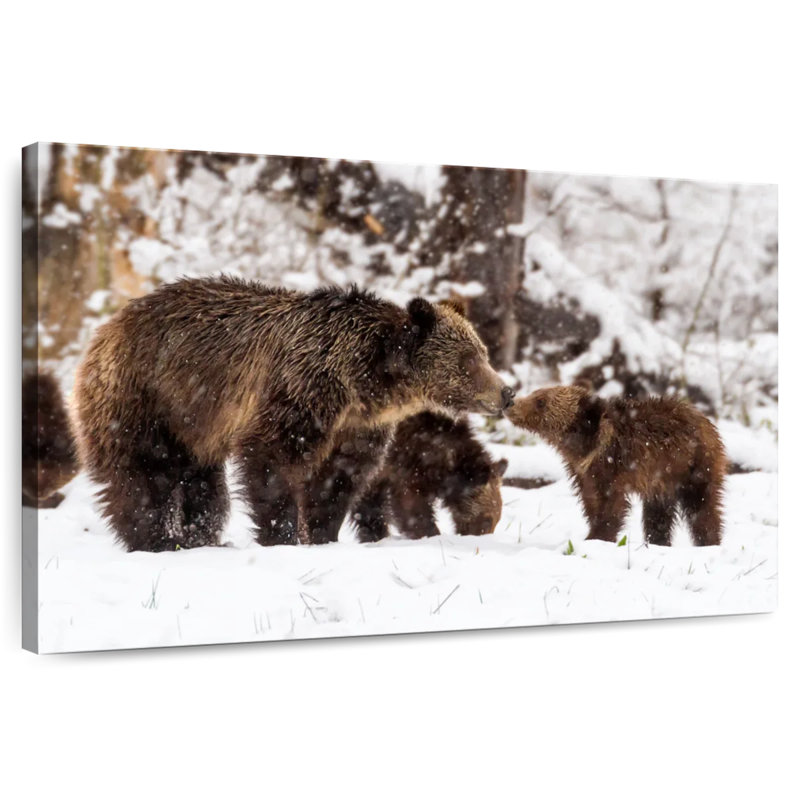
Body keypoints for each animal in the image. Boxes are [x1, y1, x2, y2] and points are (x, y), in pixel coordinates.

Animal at [352, 411, 509, 541]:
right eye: (487, 520)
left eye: (498, 519)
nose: (480, 539)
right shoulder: (406, 464)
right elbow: (411, 505)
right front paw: (430, 534)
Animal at [505, 385, 726, 546]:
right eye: (536, 394)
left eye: (541, 401)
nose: (511, 403)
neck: (585, 446)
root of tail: (707, 422)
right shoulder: (583, 472)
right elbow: (591, 501)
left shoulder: (614, 467)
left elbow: (612, 505)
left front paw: (596, 537)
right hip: (662, 479)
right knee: (658, 513)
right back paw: (657, 542)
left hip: (695, 465)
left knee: (702, 505)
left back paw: (708, 541)